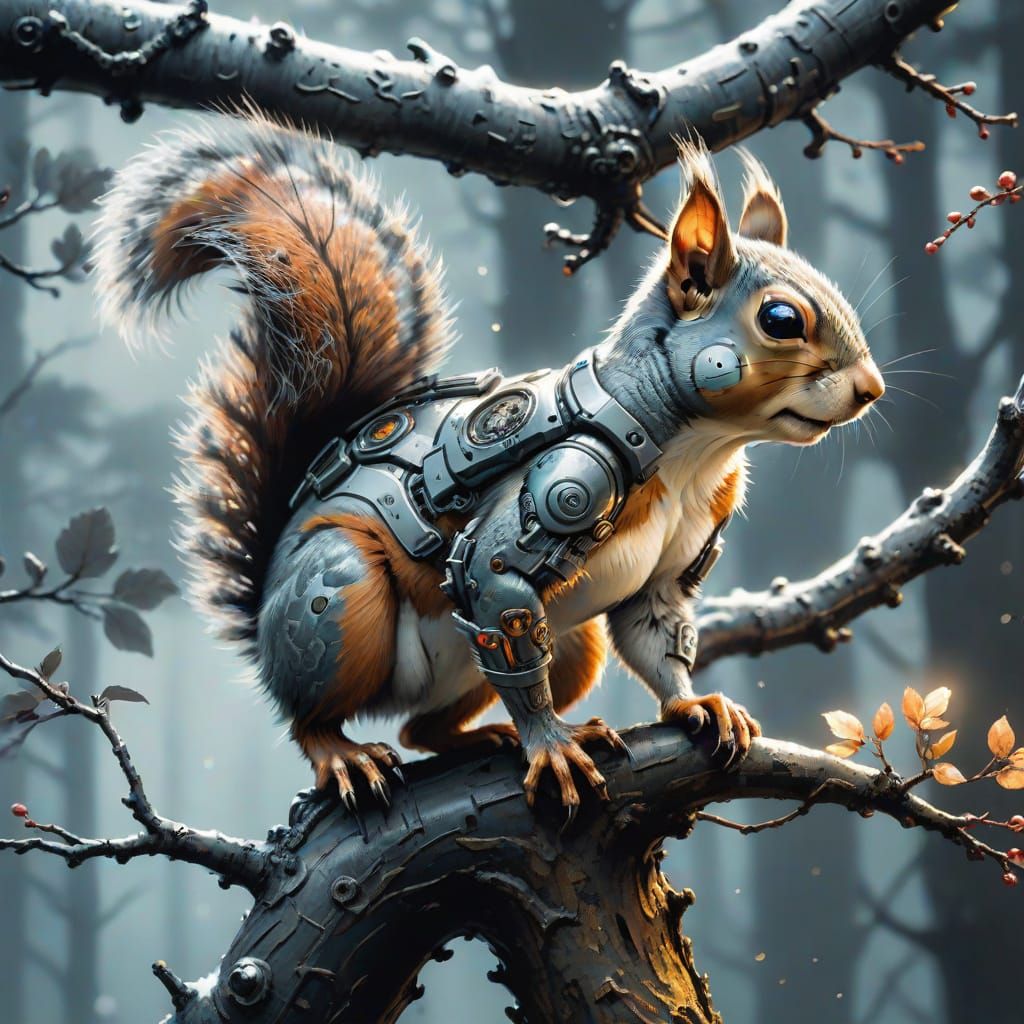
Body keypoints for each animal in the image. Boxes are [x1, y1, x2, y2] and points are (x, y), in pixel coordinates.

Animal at [92, 113, 884, 813]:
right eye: (781, 319)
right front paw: (551, 749)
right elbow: (493, 574)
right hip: (338, 604)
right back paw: (351, 752)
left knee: (426, 724)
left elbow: (657, 633)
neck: (694, 450)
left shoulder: (668, 568)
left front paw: (698, 705)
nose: (872, 389)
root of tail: (262, 622)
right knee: (316, 711)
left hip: (568, 647)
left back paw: (495, 733)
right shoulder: (565, 482)